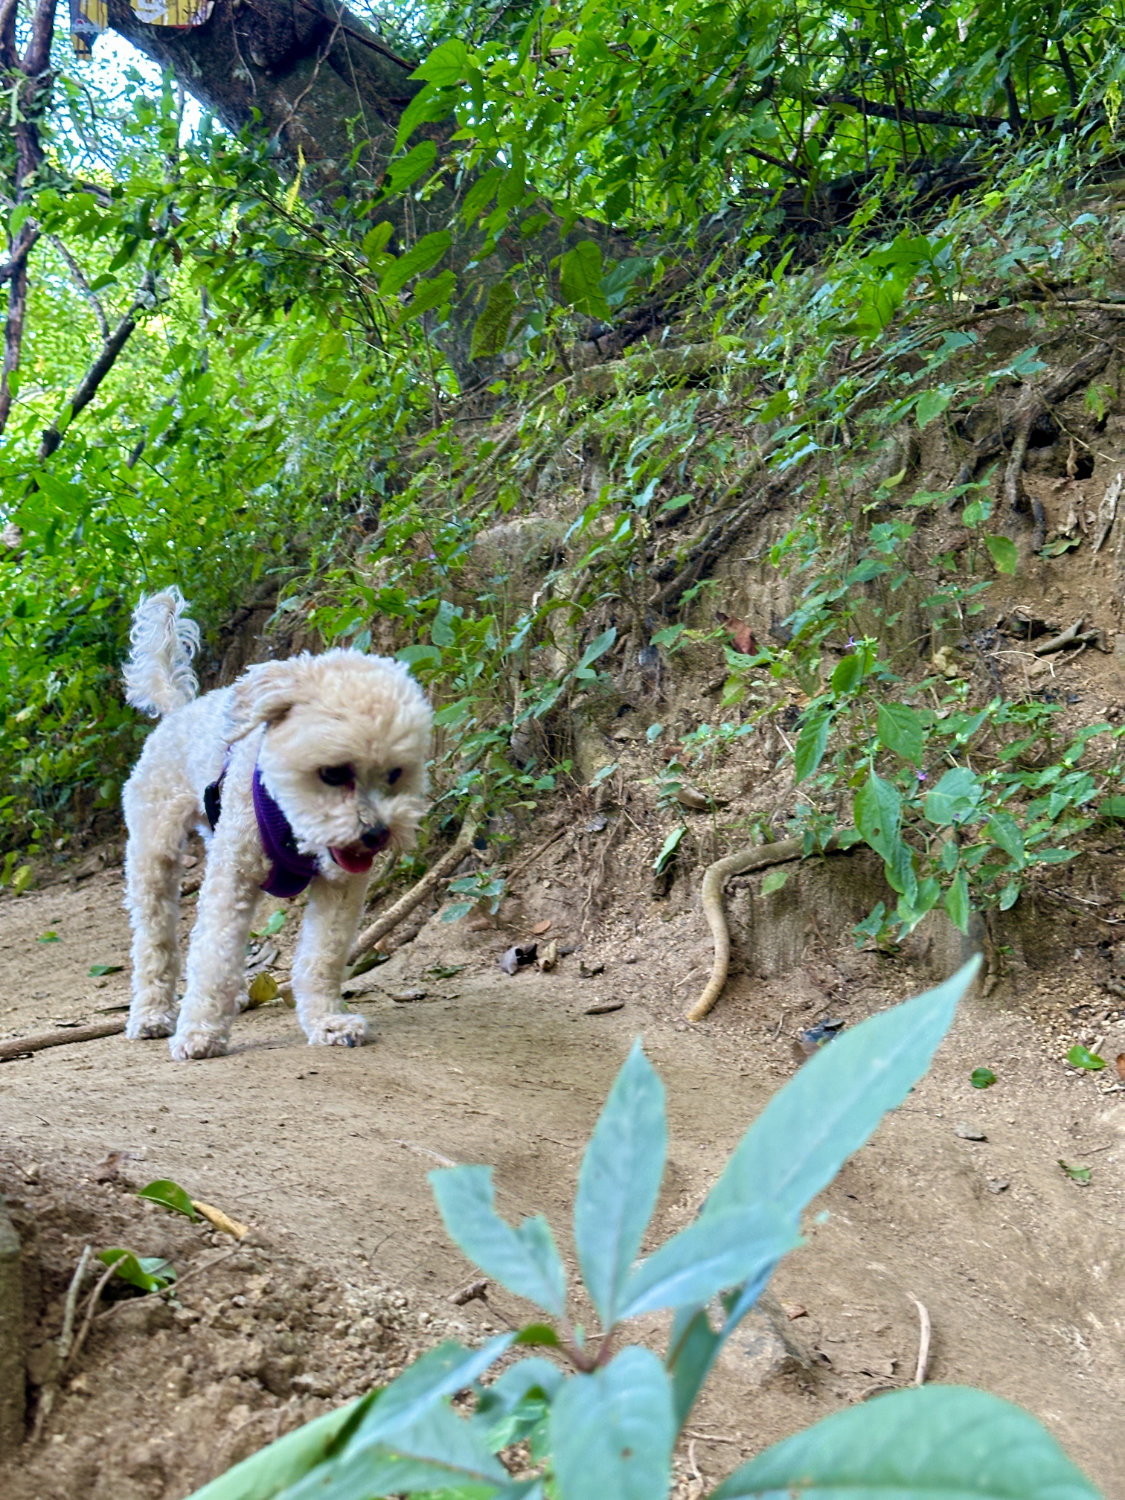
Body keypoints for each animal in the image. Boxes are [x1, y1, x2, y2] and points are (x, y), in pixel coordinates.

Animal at [122, 591, 432, 1062]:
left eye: (395, 774)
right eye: (333, 773)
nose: (376, 835)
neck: (291, 827)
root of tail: (179, 711)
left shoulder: (341, 888)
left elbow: (322, 956)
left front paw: (328, 1021)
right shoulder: (231, 877)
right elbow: (214, 957)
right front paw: (199, 1031)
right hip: (152, 850)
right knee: (154, 939)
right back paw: (152, 1013)